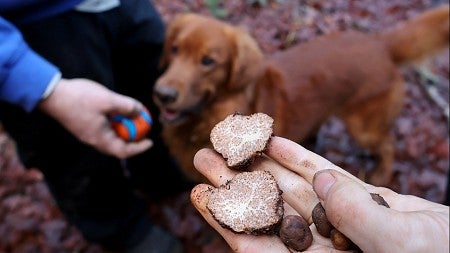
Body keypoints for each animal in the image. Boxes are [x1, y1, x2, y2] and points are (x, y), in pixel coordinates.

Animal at [153, 4, 448, 185]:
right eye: (175, 49)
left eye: (208, 62)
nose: (162, 94)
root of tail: (380, 43)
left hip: (364, 128)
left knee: (388, 144)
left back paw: (382, 174)